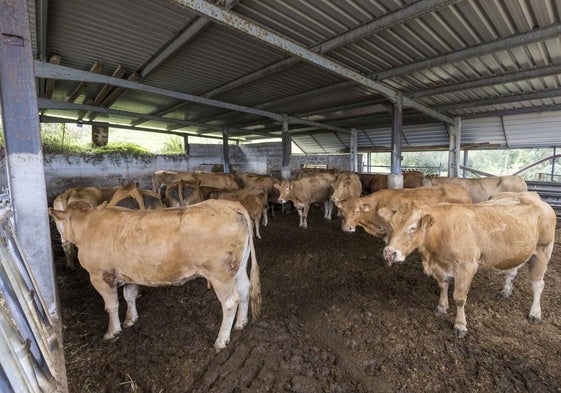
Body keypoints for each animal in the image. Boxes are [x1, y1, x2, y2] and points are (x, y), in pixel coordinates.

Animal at [49, 199, 260, 350]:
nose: (61, 239)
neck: (88, 225)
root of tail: (227, 203)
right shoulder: (129, 273)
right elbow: (129, 296)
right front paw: (131, 319)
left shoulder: (99, 275)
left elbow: (111, 305)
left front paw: (112, 331)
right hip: (238, 268)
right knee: (244, 290)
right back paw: (241, 323)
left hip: (220, 275)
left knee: (230, 302)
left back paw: (221, 340)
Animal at [380, 192, 556, 336]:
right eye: (392, 225)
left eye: (412, 227)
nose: (389, 252)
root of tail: (534, 196)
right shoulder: (439, 267)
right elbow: (443, 286)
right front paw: (441, 308)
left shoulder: (466, 267)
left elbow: (459, 298)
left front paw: (460, 325)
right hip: (518, 251)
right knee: (512, 271)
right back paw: (506, 291)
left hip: (543, 250)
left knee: (538, 284)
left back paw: (535, 313)